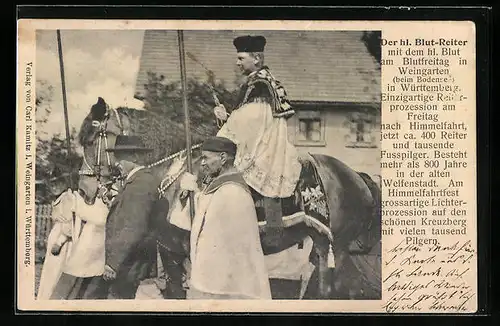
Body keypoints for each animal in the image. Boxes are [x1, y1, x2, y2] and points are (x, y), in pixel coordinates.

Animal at [77, 97, 378, 300]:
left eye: (90, 139)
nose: (84, 190)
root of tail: (355, 176)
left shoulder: (183, 250)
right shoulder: (168, 250)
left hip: (335, 245)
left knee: (332, 288)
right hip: (325, 244)